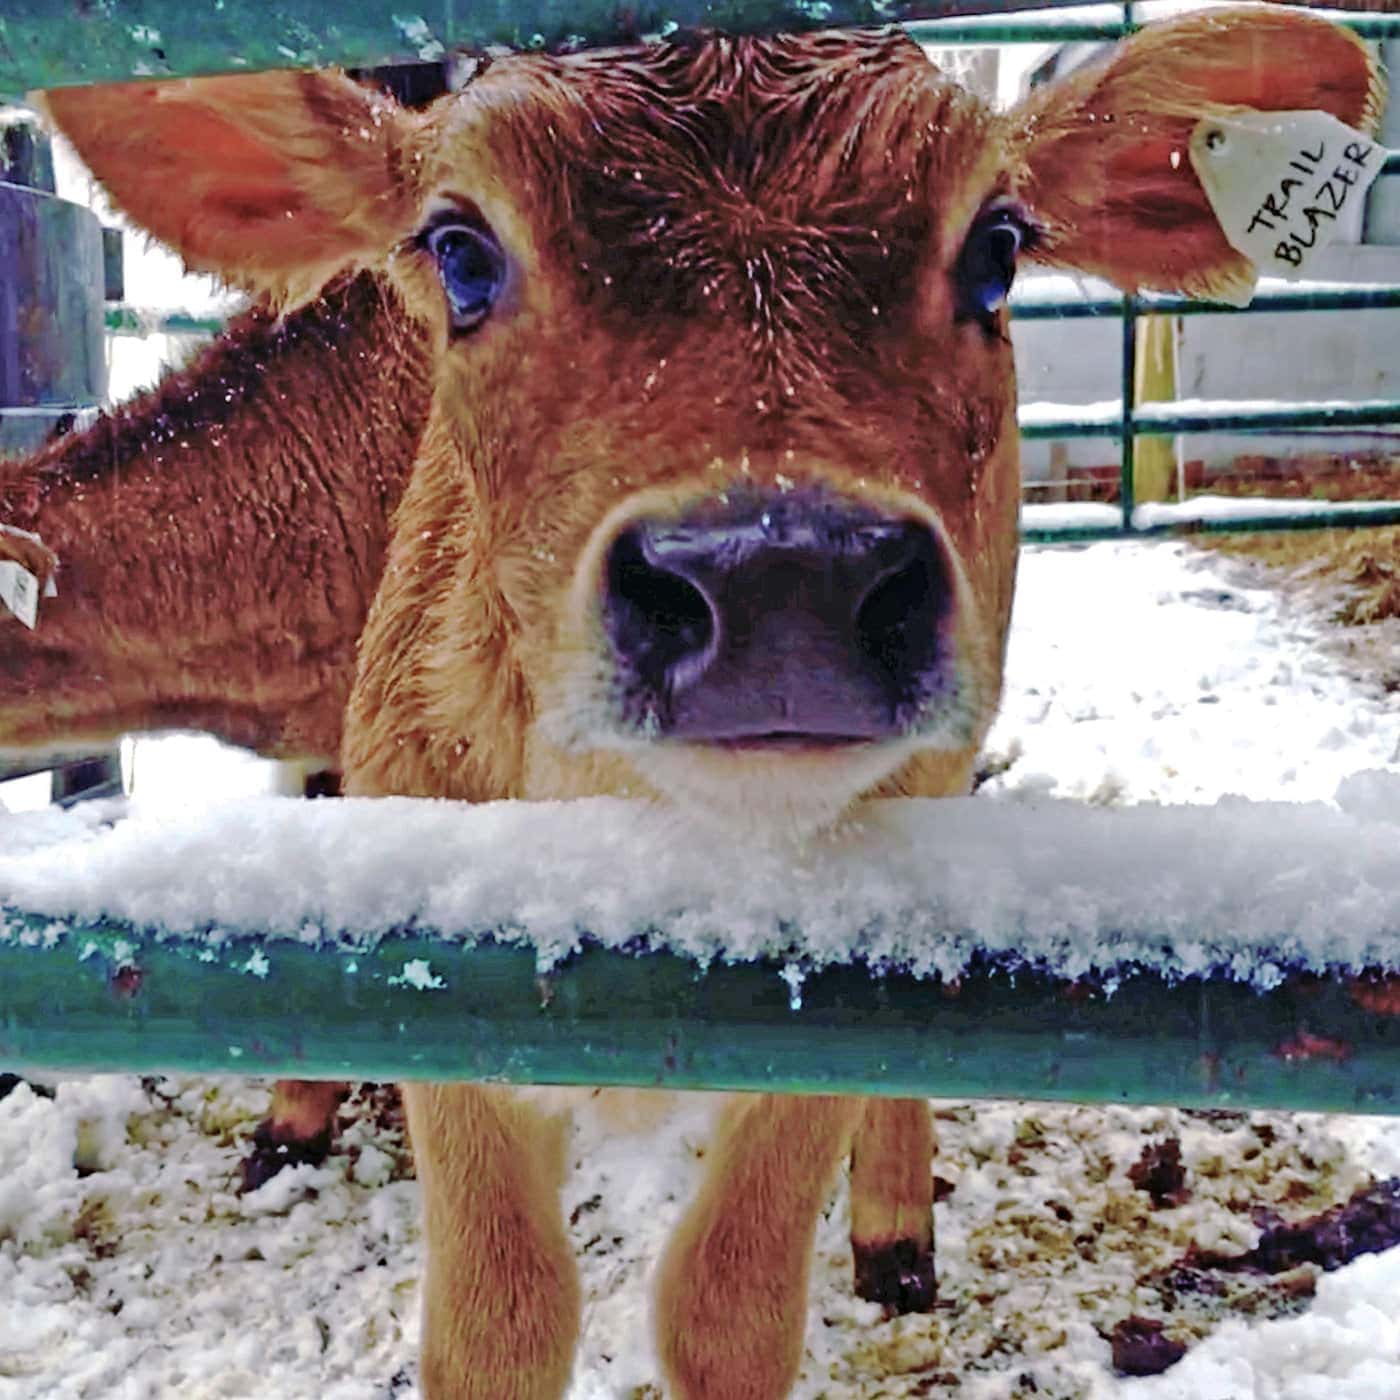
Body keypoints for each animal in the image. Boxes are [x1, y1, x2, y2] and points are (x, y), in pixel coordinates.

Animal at [30, 13, 1377, 1400]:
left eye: (998, 245)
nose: (781, 574)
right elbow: (497, 1319)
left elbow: (727, 1303)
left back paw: (895, 1235)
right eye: (460, 250)